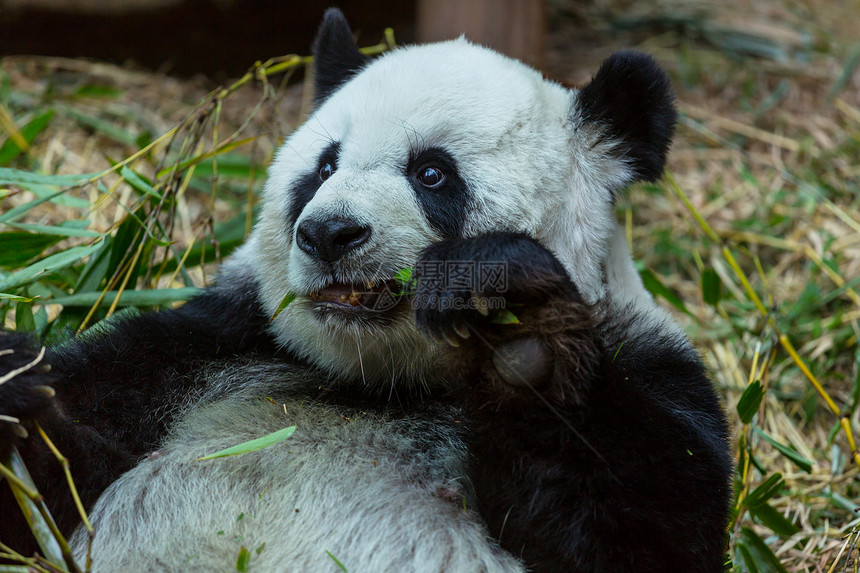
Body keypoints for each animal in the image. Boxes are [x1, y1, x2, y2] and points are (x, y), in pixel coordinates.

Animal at [0, 8, 732, 572]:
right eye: (323, 167)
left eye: (433, 173)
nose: (328, 232)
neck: (381, 379)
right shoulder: (214, 343)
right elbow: (57, 477)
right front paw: (17, 384)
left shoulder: (646, 361)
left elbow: (648, 530)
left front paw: (520, 337)